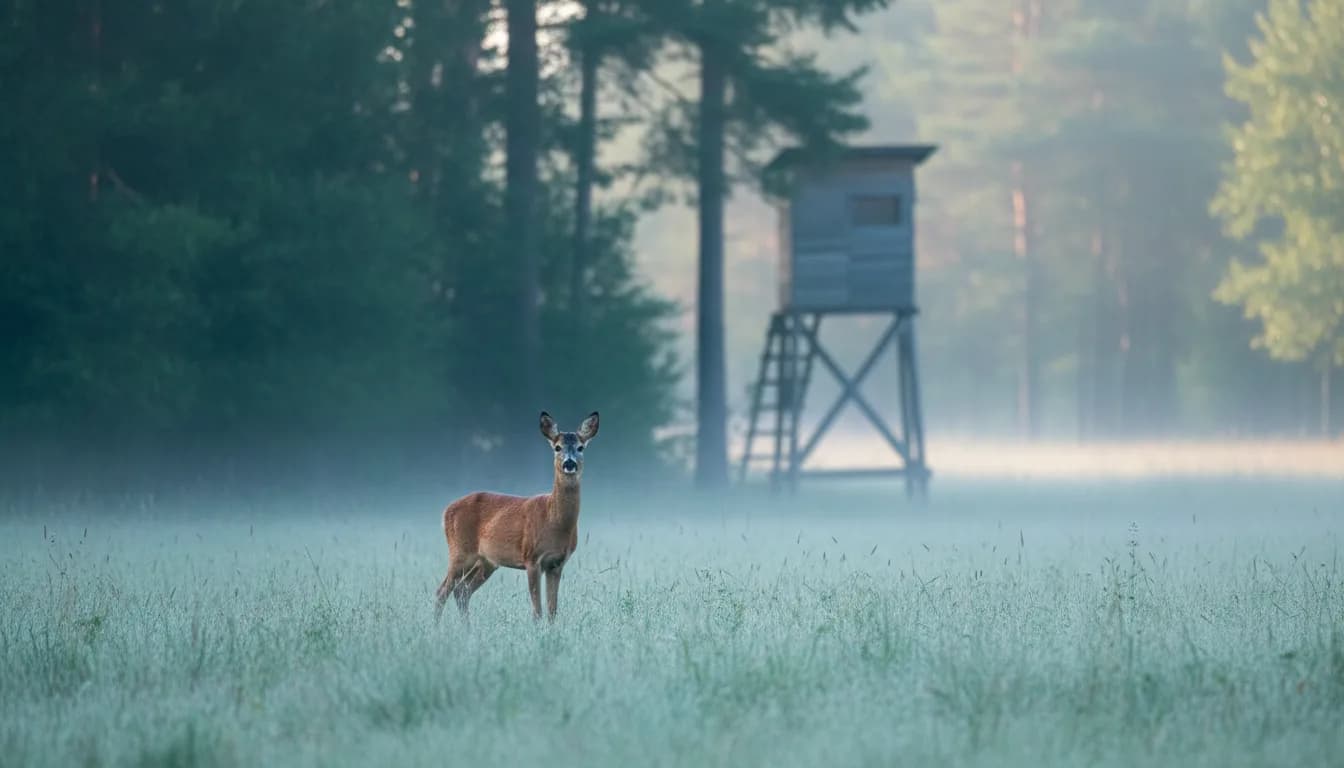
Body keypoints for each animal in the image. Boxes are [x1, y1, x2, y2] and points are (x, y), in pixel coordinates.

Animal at [434, 410, 599, 623]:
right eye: (557, 447)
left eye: (580, 447)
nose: (569, 463)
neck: (554, 521)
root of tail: (446, 510)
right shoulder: (531, 557)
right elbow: (537, 611)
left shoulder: (556, 564)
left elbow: (552, 610)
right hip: (460, 552)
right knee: (442, 591)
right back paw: (437, 628)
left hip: (486, 561)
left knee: (462, 590)